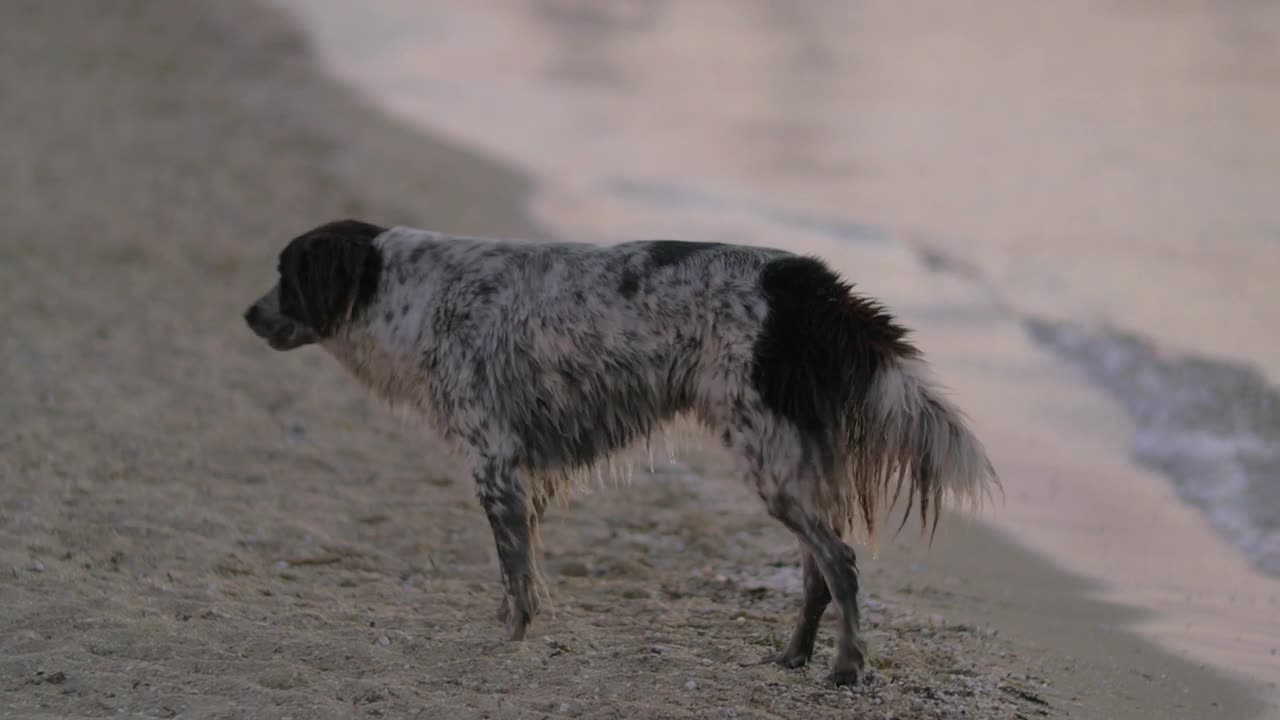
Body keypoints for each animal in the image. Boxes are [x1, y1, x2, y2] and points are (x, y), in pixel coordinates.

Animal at [241, 219, 998, 681]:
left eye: (286, 272)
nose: (247, 314)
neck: (414, 291)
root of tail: (805, 284)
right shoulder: (517, 475)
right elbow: (523, 568)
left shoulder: (494, 462)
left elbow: (516, 578)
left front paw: (509, 641)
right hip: (791, 465)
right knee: (818, 570)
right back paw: (794, 657)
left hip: (769, 459)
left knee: (839, 563)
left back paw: (845, 667)